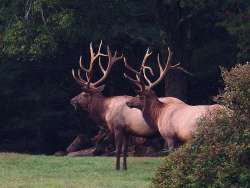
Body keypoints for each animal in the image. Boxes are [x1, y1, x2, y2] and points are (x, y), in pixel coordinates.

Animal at [70, 41, 179, 170]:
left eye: (84, 94)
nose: (72, 100)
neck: (105, 112)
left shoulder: (118, 127)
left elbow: (118, 149)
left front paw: (117, 168)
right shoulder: (127, 131)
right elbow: (125, 150)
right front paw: (124, 168)